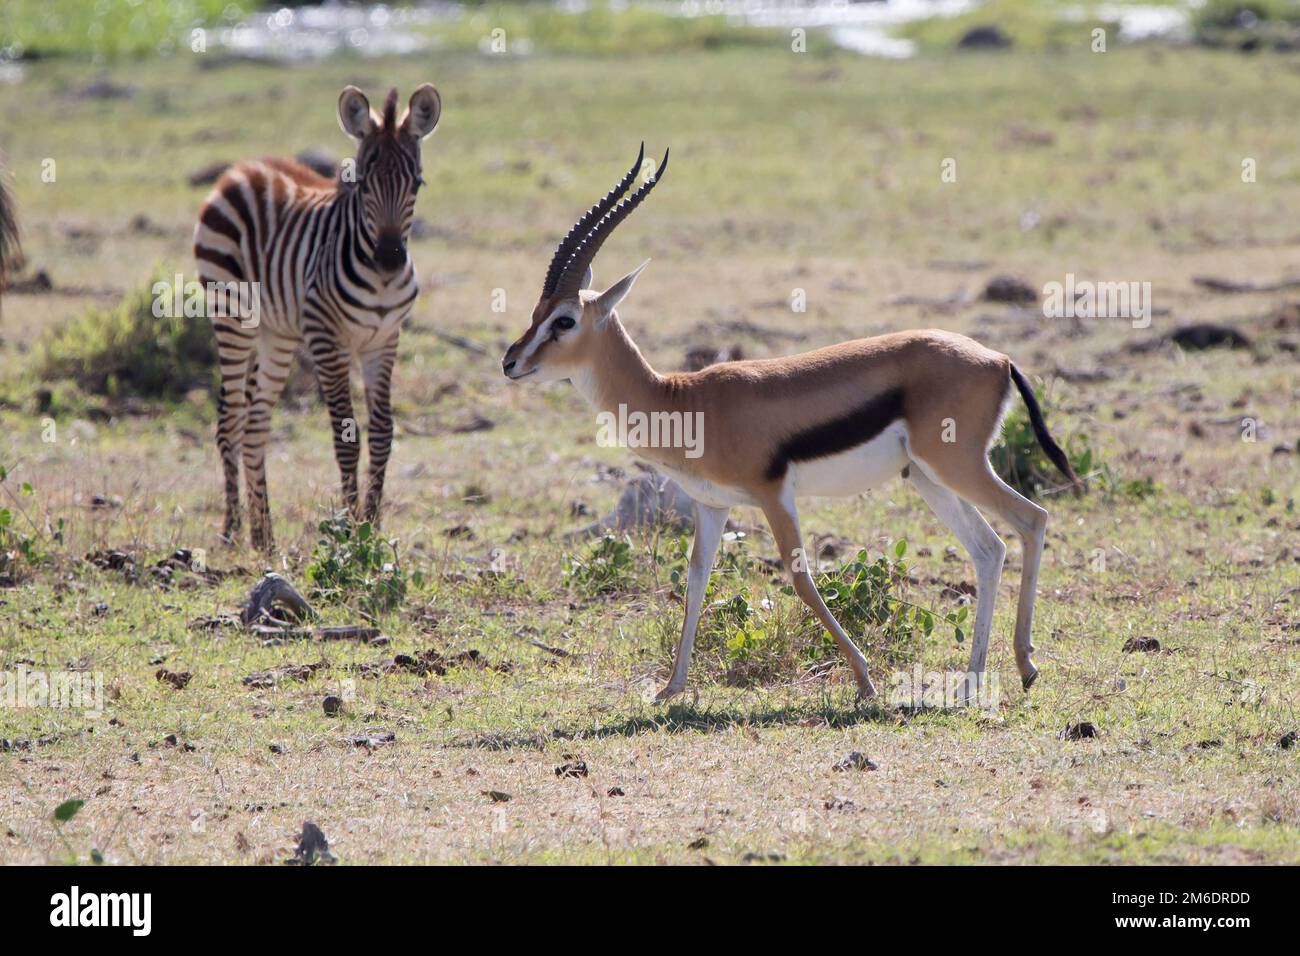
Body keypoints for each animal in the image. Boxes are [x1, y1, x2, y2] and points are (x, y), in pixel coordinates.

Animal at [189, 85, 439, 548]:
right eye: (361, 184)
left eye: (417, 183)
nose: (390, 258)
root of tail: (242, 168)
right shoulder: (327, 338)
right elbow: (346, 435)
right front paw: (353, 531)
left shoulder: (384, 340)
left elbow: (382, 432)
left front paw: (373, 526)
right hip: (231, 315)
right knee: (230, 420)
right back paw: (232, 529)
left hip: (277, 333)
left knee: (255, 426)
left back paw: (264, 537)